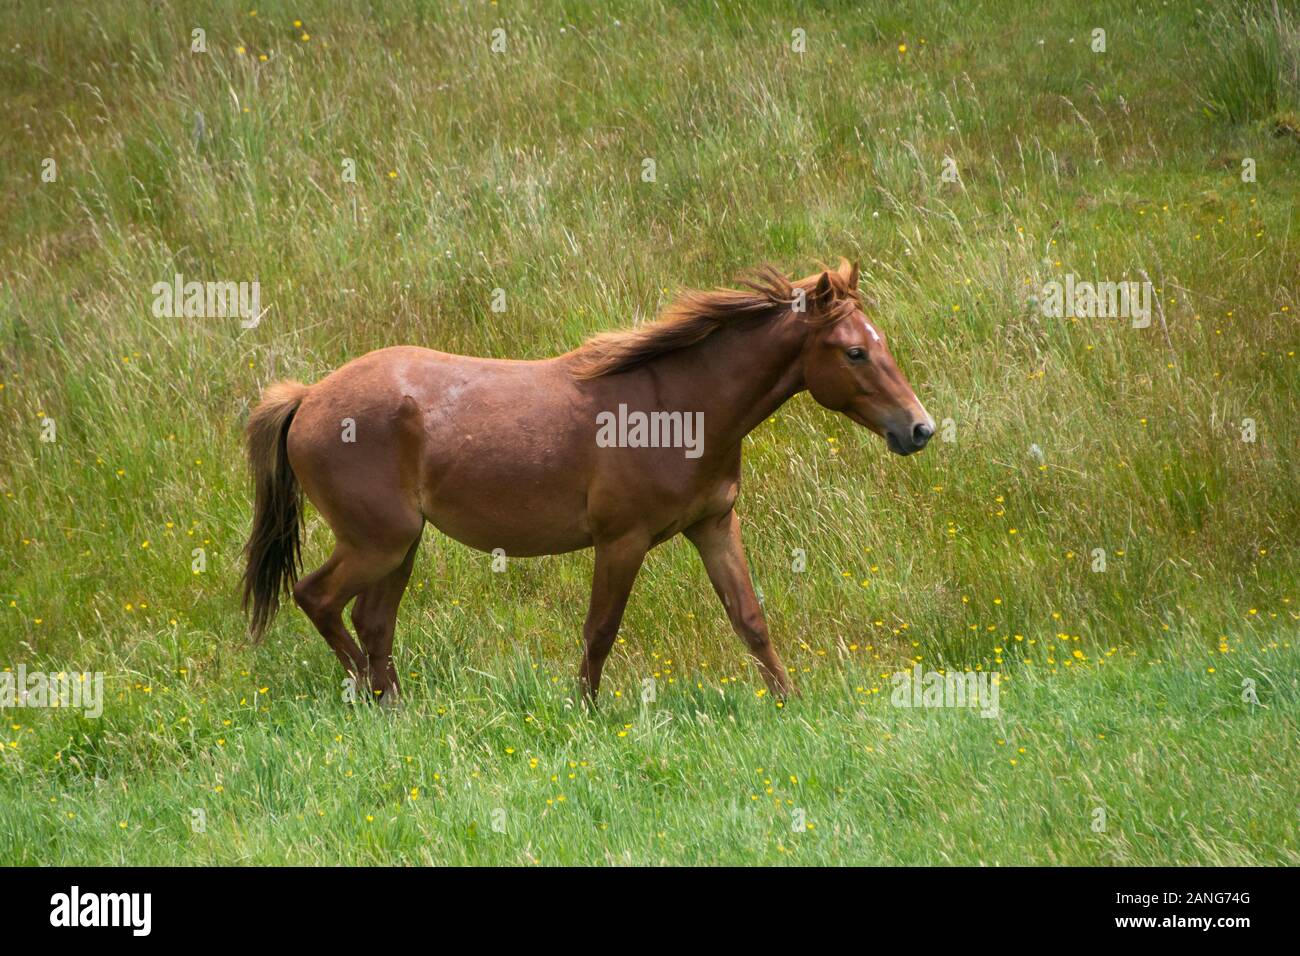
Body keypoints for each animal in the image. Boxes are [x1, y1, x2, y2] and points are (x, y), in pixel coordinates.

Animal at [241, 260, 935, 702]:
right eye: (854, 351)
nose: (919, 428)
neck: (676, 407)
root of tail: (307, 398)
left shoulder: (714, 526)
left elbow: (750, 618)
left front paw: (790, 705)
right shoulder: (621, 541)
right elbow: (600, 630)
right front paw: (586, 712)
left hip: (400, 546)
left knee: (373, 621)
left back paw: (394, 706)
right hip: (377, 543)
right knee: (318, 599)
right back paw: (370, 697)